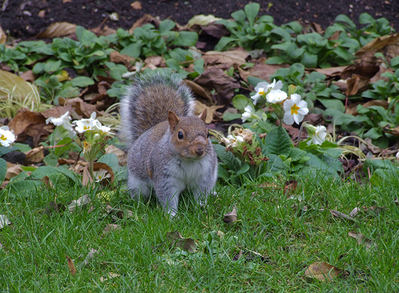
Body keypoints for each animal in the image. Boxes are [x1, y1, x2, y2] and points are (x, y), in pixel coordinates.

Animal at [120, 72, 219, 216]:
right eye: (180, 135)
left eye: (208, 134)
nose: (200, 149)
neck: (189, 161)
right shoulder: (165, 177)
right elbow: (168, 197)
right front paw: (171, 215)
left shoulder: (205, 174)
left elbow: (201, 192)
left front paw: (201, 206)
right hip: (137, 182)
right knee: (139, 193)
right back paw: (139, 204)